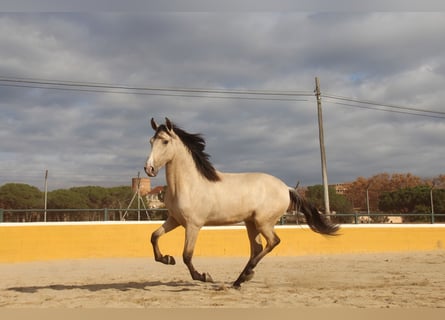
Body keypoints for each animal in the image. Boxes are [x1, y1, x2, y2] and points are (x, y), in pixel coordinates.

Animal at [144, 117, 338, 288]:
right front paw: (167, 259)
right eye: (151, 141)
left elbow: (187, 255)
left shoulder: (193, 225)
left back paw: (244, 276)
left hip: (263, 222)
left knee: (273, 242)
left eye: (165, 142)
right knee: (257, 248)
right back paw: (240, 279)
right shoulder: (175, 220)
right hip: (251, 223)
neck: (188, 184)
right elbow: (154, 236)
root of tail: (286, 188)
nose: (149, 169)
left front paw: (205, 276)